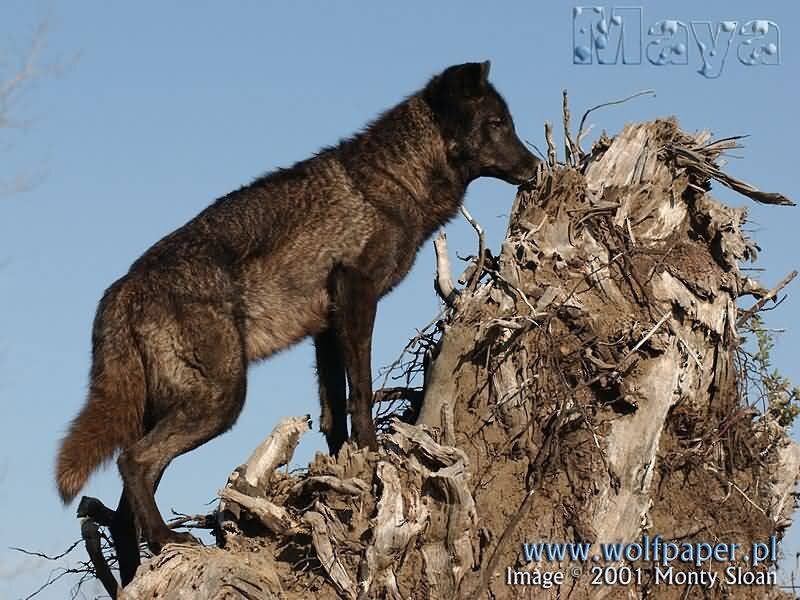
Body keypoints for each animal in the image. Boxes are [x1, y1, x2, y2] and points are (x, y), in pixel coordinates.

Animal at [55, 61, 539, 584]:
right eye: (497, 123)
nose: (535, 167)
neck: (393, 180)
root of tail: (121, 289)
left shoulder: (326, 328)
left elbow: (332, 412)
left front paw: (340, 469)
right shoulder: (357, 295)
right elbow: (361, 391)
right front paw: (371, 450)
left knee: (123, 513)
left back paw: (136, 573)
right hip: (219, 402)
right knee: (133, 463)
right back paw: (168, 540)